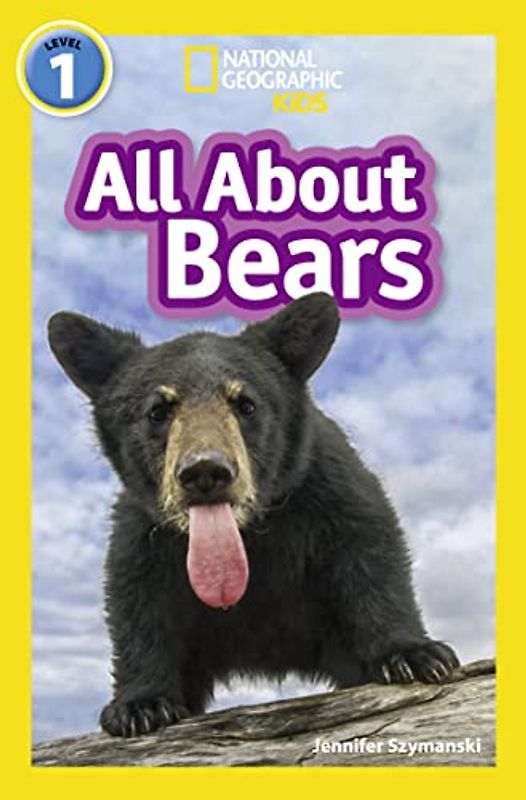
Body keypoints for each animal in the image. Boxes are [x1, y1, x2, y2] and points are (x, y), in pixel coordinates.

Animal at [47, 292, 459, 738]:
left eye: (245, 404)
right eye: (158, 410)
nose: (205, 471)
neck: (249, 535)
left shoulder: (328, 487)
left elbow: (369, 551)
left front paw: (416, 655)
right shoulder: (144, 530)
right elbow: (137, 597)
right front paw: (139, 705)